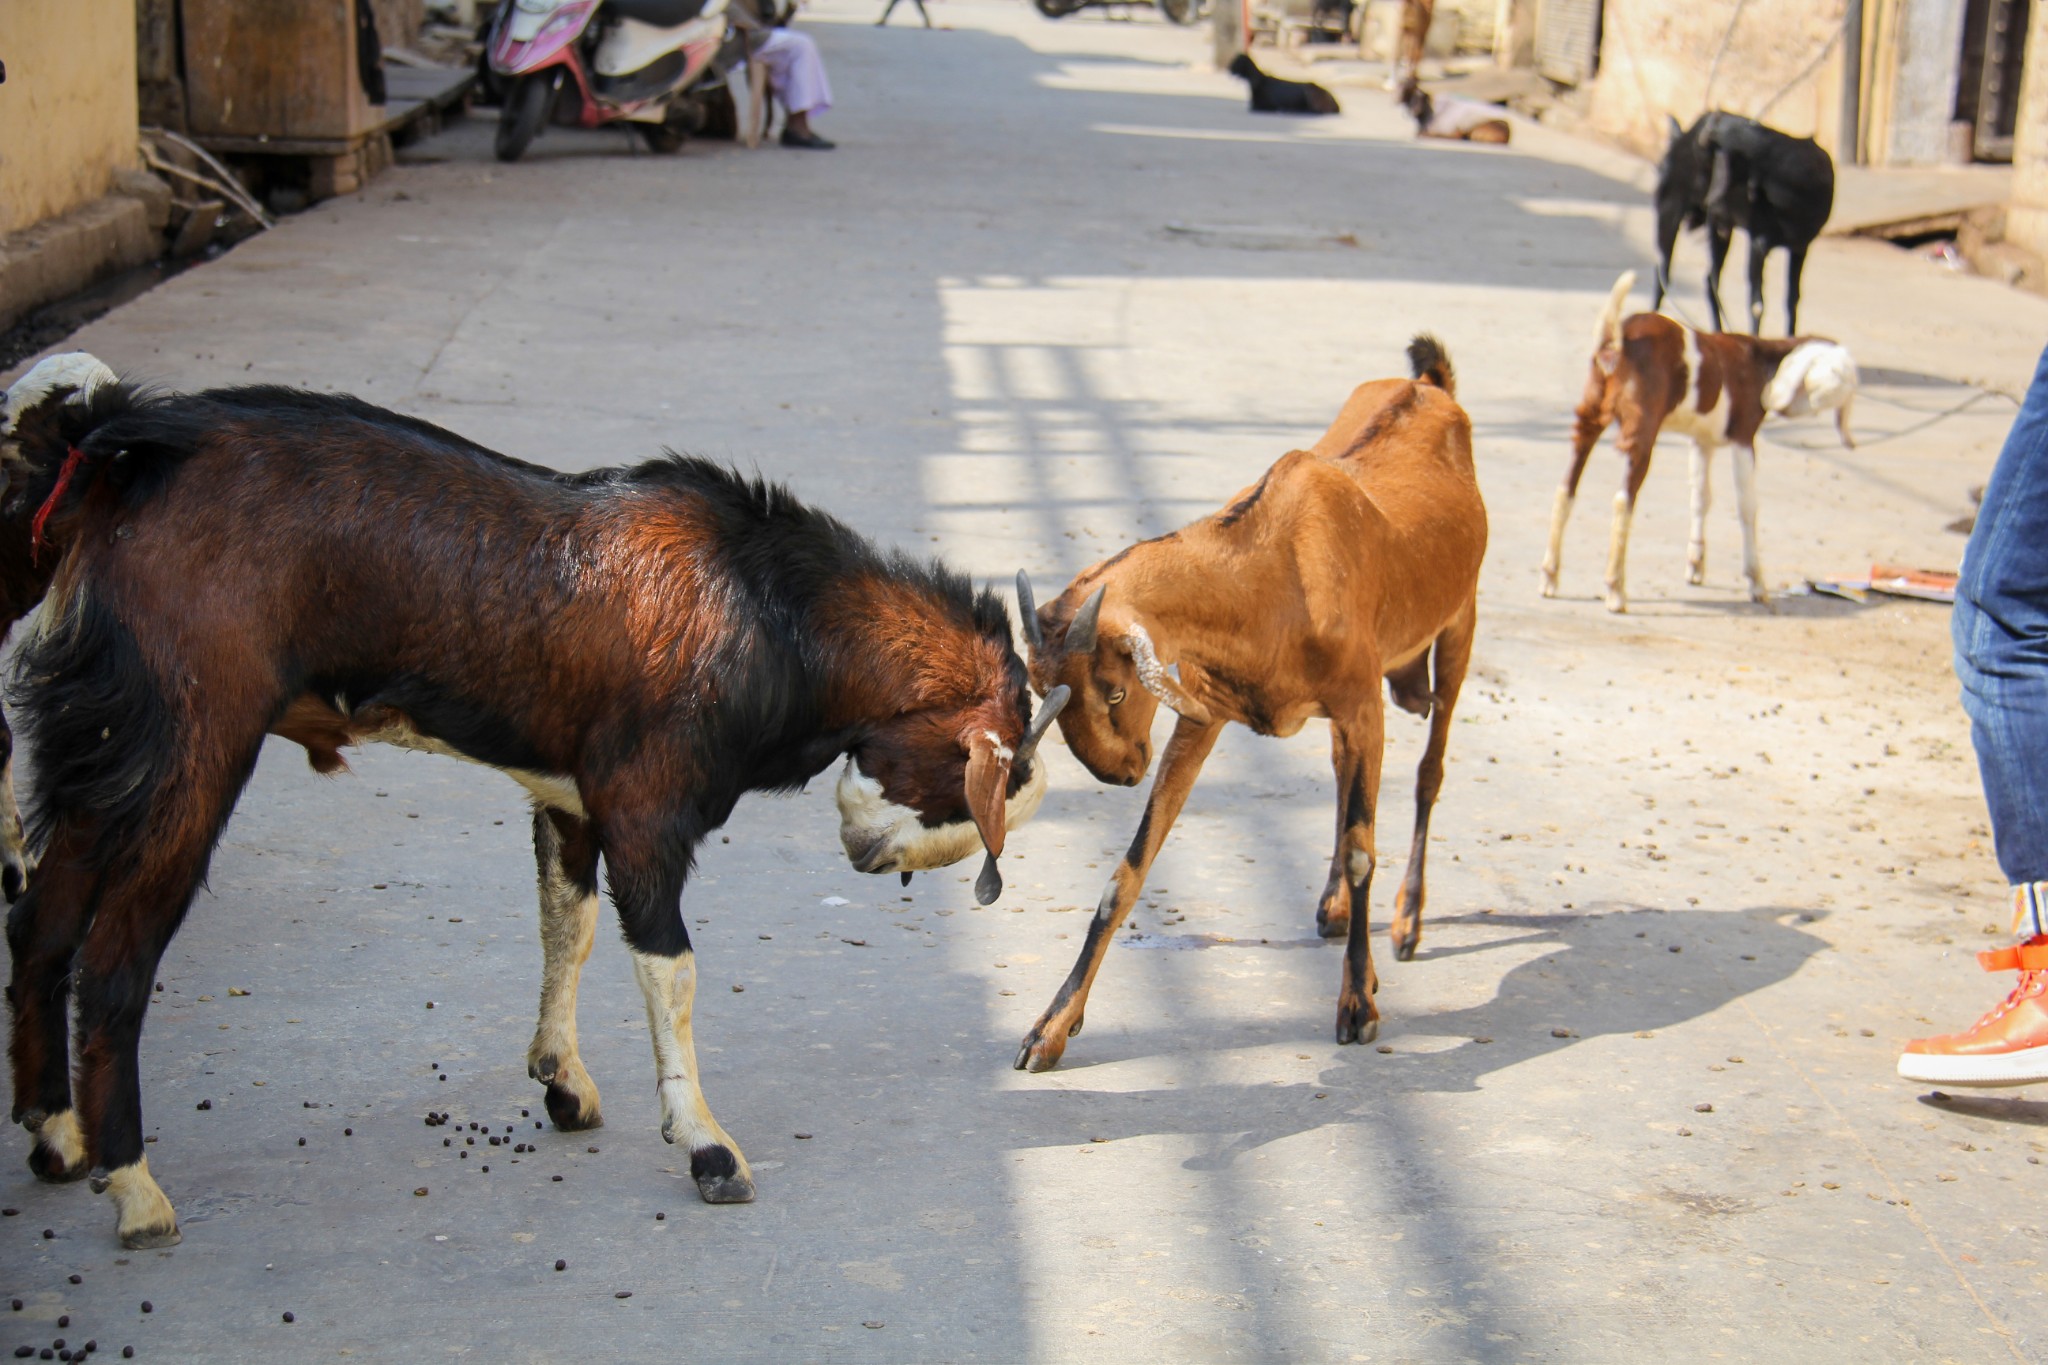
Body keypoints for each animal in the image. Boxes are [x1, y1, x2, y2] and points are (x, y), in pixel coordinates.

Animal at [1011, 333, 1482, 1064]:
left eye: (1115, 688)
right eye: (1040, 690)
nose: (1121, 773)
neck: (1275, 571)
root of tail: (1429, 385)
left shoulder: (1361, 703)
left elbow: (1362, 848)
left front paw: (1358, 1003)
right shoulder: (1206, 713)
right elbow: (1129, 870)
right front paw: (1051, 1027)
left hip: (1460, 623)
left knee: (1428, 773)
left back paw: (1406, 923)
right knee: (1346, 778)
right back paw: (1337, 909)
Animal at [1540, 272, 1867, 613]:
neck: (1763, 360)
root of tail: (1617, 340)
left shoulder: (1701, 442)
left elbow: (1700, 498)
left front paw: (1695, 565)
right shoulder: (1743, 438)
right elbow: (1746, 507)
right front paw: (1756, 582)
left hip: (1590, 416)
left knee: (1566, 488)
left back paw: (1550, 576)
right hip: (1641, 430)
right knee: (1622, 500)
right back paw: (1615, 589)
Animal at [1654, 112, 1835, 335]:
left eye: (1701, 165)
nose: (1661, 194)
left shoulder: (1801, 246)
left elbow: (1792, 301)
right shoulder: (1759, 242)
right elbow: (1757, 304)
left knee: (1709, 281)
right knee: (1698, 280)